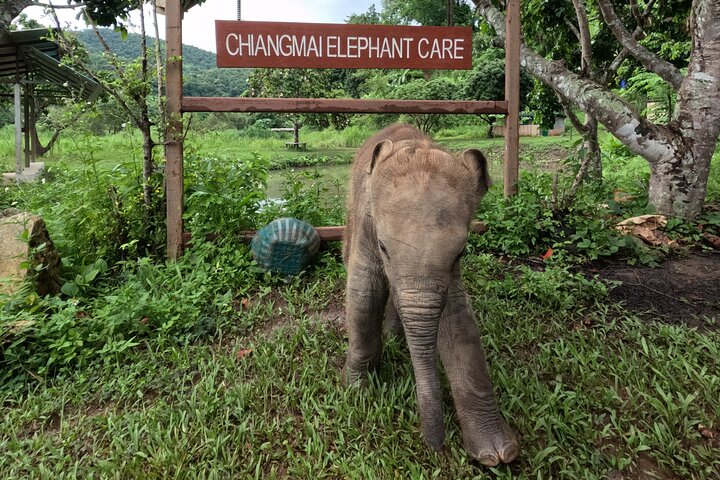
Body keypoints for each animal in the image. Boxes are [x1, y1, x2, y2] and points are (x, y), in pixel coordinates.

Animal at [342, 123, 518, 466]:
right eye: (383, 247)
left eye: (460, 252)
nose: (437, 447)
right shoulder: (366, 223)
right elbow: (364, 291)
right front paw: (358, 391)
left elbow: (459, 318)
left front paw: (498, 454)